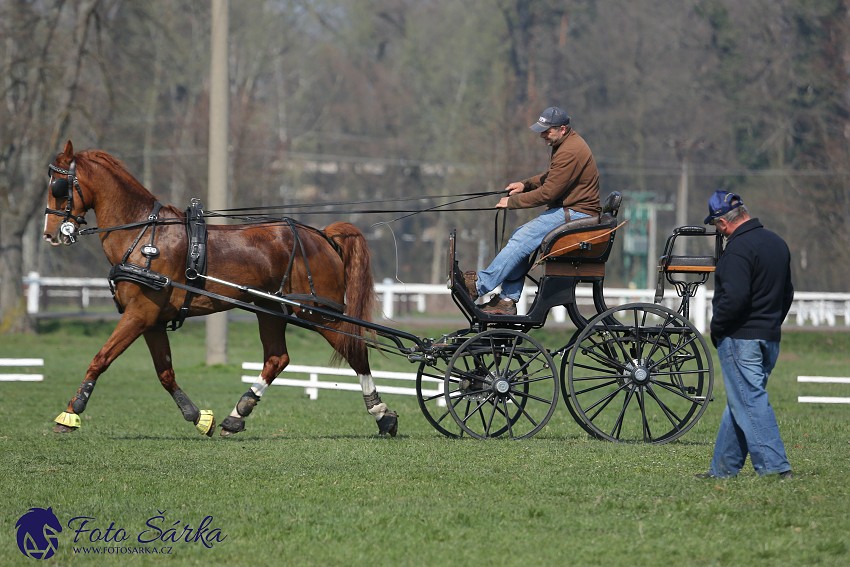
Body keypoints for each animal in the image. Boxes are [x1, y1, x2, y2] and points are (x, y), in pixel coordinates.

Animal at [40, 142, 398, 440]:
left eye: (58, 186)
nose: (50, 234)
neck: (144, 236)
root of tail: (322, 236)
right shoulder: (152, 320)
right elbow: (165, 373)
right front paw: (200, 418)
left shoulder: (140, 314)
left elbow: (100, 359)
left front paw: (70, 414)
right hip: (270, 310)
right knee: (277, 358)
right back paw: (236, 416)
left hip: (318, 313)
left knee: (355, 352)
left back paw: (383, 416)